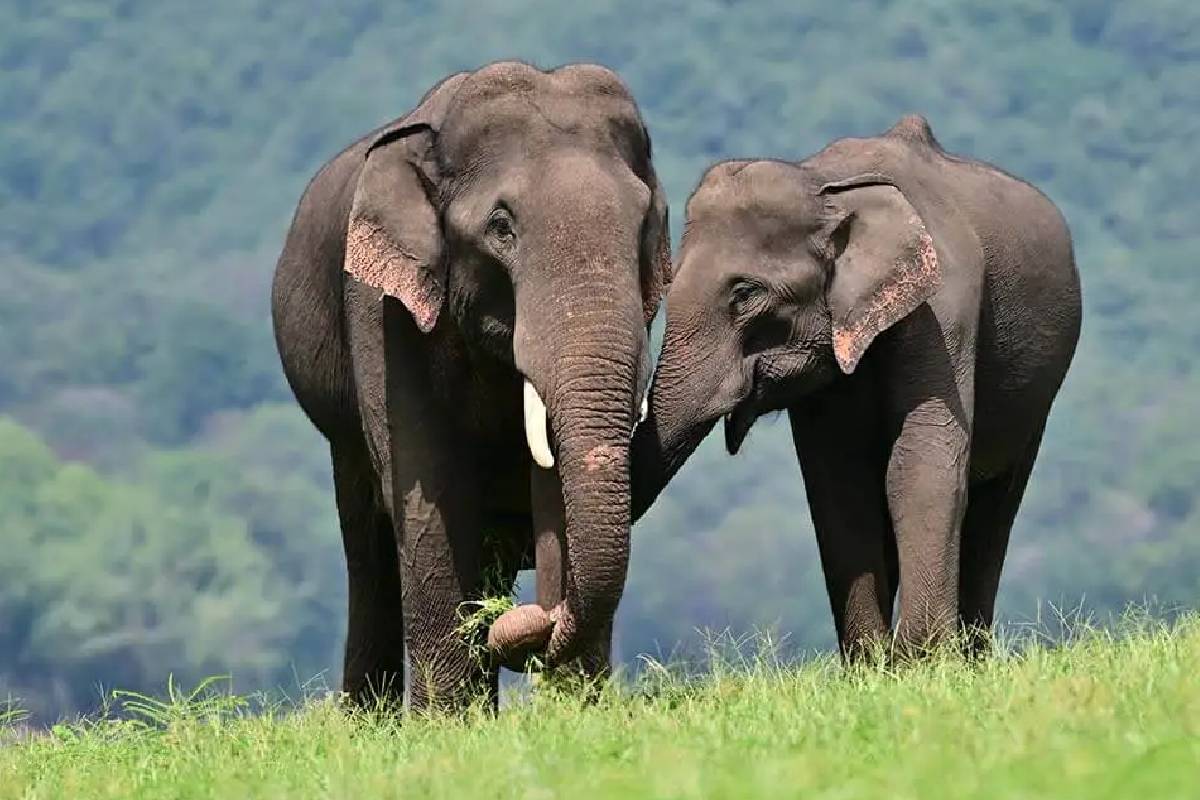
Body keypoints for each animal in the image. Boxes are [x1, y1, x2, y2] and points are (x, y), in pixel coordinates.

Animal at [272, 61, 671, 710]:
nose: (529, 624)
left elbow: (550, 489)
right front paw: (448, 722)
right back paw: (371, 717)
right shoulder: (383, 309)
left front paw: (577, 710)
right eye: (501, 227)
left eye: (643, 224)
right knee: (367, 545)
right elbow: (428, 488)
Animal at [632, 115, 1081, 658]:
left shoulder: (943, 305)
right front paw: (872, 665)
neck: (826, 186)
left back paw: (972, 657)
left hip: (1038, 396)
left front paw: (921, 661)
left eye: (746, 293)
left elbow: (918, 459)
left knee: (997, 507)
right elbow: (839, 481)